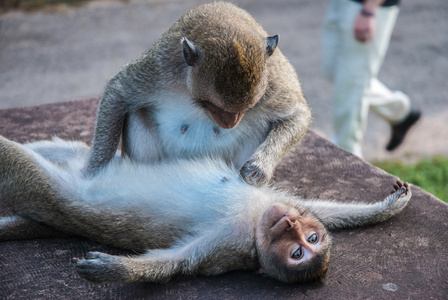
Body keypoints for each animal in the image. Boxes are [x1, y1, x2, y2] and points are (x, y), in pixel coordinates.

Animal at [0, 136, 412, 284]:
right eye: (307, 237)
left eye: (302, 250)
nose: (290, 222)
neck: (256, 220)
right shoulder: (274, 200)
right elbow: (327, 209)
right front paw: (386, 207)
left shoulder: (227, 243)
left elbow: (180, 261)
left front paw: (117, 270)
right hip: (82, 161)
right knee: (65, 150)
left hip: (52, 193)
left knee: (25, 166)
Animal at [85, 1, 312, 186]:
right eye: (214, 105)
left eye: (246, 108)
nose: (230, 122)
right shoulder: (160, 69)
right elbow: (117, 93)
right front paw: (94, 173)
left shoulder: (272, 80)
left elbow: (297, 115)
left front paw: (258, 168)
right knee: (136, 113)